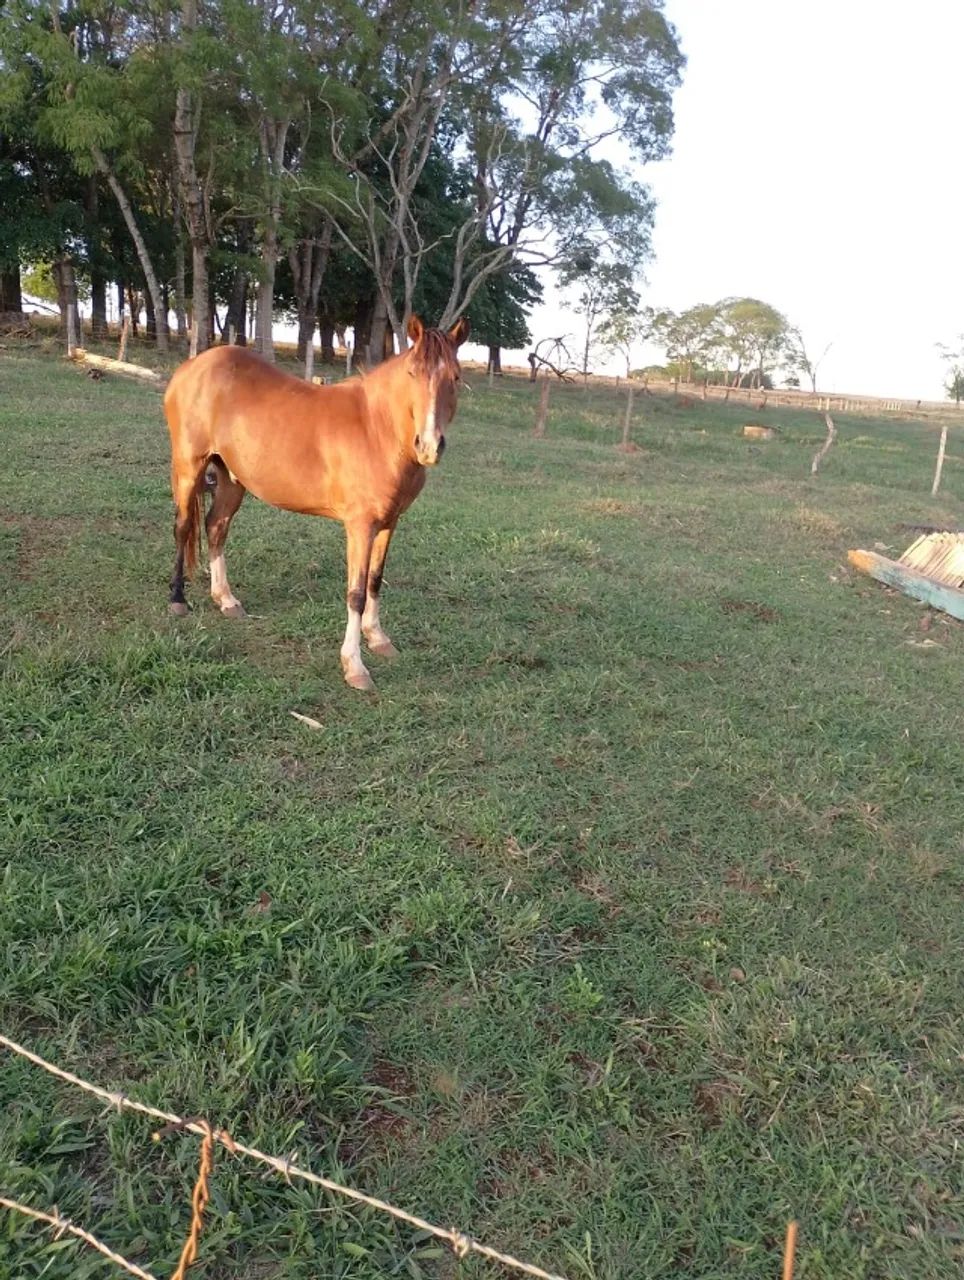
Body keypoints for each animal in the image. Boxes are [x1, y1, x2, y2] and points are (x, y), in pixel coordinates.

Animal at [163, 314, 469, 691]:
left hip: (232, 478)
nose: (428, 446)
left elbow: (375, 581)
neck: (376, 429)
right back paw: (178, 599)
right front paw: (354, 666)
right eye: (413, 373)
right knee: (183, 527)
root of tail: (191, 367)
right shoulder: (360, 527)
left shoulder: (389, 523)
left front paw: (378, 639)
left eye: (455, 376)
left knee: (215, 527)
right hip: (189, 467)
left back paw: (226, 600)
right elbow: (356, 593)